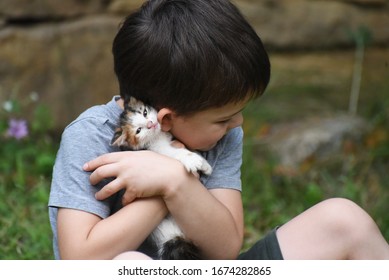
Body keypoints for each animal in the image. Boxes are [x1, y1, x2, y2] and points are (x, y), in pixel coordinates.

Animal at [110, 96, 211, 260]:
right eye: (138, 130)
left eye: (144, 112)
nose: (151, 124)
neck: (157, 136)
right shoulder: (157, 150)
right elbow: (177, 153)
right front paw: (193, 160)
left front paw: (205, 165)